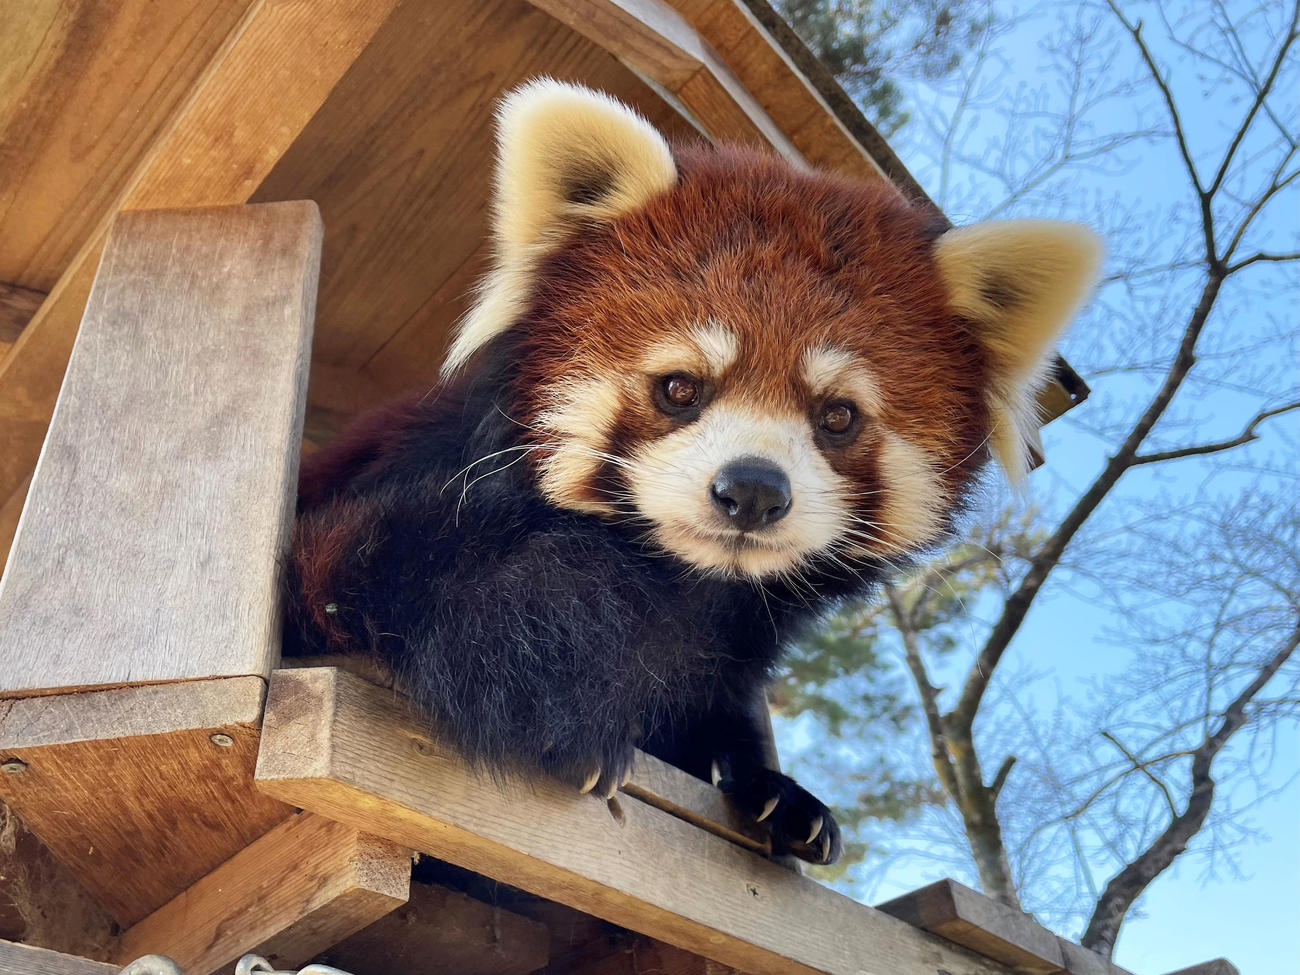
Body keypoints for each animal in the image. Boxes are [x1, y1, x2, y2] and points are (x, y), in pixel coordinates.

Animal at [284, 80, 1097, 868]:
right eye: (680, 386)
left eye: (837, 416)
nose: (754, 490)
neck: (683, 581)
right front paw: (559, 714)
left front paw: (778, 791)